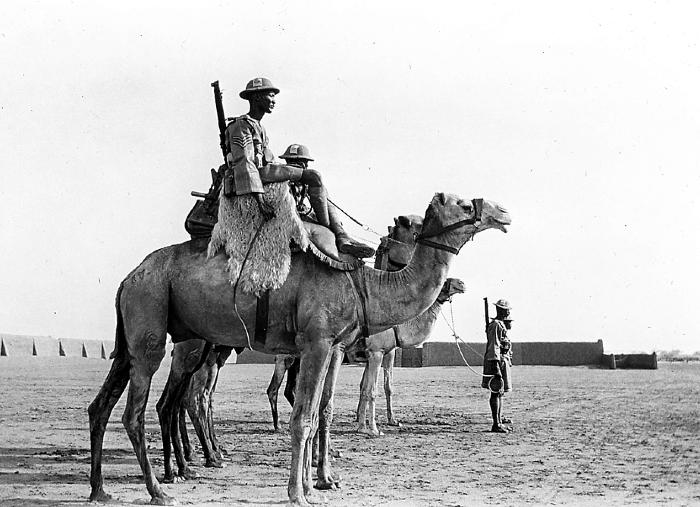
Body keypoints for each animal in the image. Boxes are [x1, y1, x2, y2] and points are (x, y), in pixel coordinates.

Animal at [90, 192, 512, 506]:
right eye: (463, 203)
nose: (503, 211)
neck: (364, 286)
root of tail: (129, 277)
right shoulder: (319, 342)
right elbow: (306, 416)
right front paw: (300, 492)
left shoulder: (332, 347)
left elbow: (321, 409)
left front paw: (319, 481)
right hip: (154, 323)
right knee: (141, 410)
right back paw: (163, 486)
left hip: (138, 333)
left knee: (108, 404)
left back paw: (104, 489)